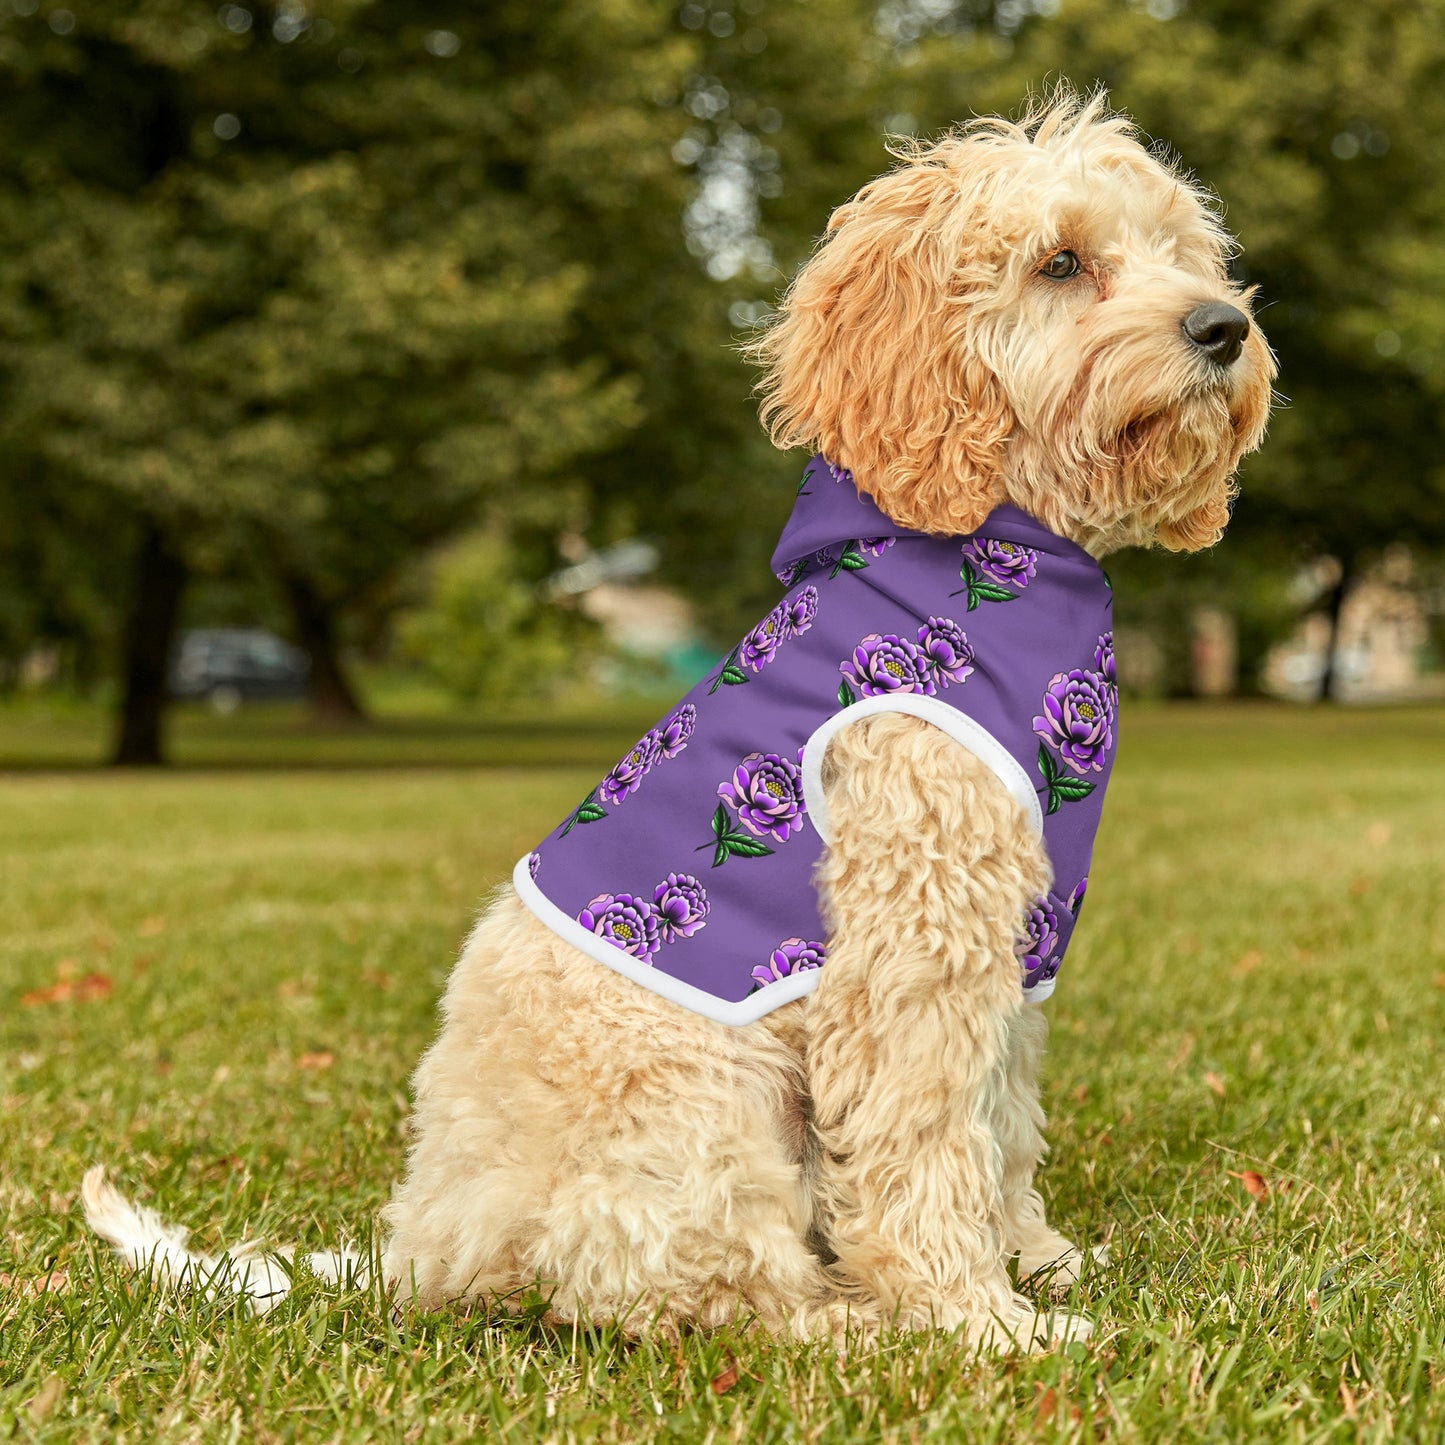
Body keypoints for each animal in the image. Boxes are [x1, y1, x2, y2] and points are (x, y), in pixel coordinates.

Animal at [84, 93, 1271, 1352]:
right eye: (1060, 262)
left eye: (1180, 252)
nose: (1222, 327)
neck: (987, 550)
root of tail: (424, 1246)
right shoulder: (911, 943)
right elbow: (924, 1139)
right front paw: (977, 1318)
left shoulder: (1012, 947)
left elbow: (998, 1122)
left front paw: (1035, 1260)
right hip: (703, 1102)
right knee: (701, 1290)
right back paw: (851, 1322)